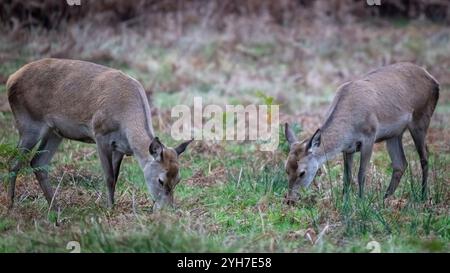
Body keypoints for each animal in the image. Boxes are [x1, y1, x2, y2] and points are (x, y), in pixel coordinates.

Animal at [6, 57, 193, 210]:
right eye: (161, 180)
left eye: (178, 179)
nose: (168, 209)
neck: (125, 119)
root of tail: (10, 80)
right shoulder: (100, 135)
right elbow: (109, 177)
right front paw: (109, 209)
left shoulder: (120, 148)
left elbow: (116, 177)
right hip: (29, 123)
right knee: (13, 161)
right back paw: (11, 205)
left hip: (54, 132)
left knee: (38, 163)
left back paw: (55, 208)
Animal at [284, 61, 440, 202]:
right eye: (286, 169)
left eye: (302, 172)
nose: (290, 199)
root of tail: (434, 81)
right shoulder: (348, 148)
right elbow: (347, 177)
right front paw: (345, 202)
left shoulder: (369, 136)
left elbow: (361, 174)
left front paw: (360, 202)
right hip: (394, 134)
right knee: (400, 164)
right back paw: (384, 199)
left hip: (421, 119)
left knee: (424, 157)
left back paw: (423, 196)